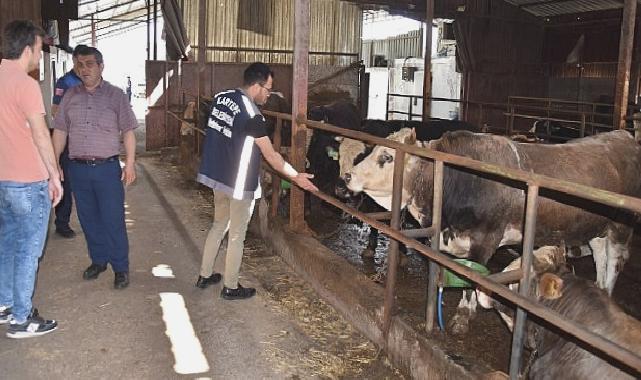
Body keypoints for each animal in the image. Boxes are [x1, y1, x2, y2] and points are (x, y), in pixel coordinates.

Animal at [344, 129, 640, 334]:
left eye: (387, 157)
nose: (348, 176)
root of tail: (623, 135)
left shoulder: (485, 240)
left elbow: (471, 278)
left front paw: (462, 317)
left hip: (621, 228)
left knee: (614, 262)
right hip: (596, 228)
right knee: (600, 257)